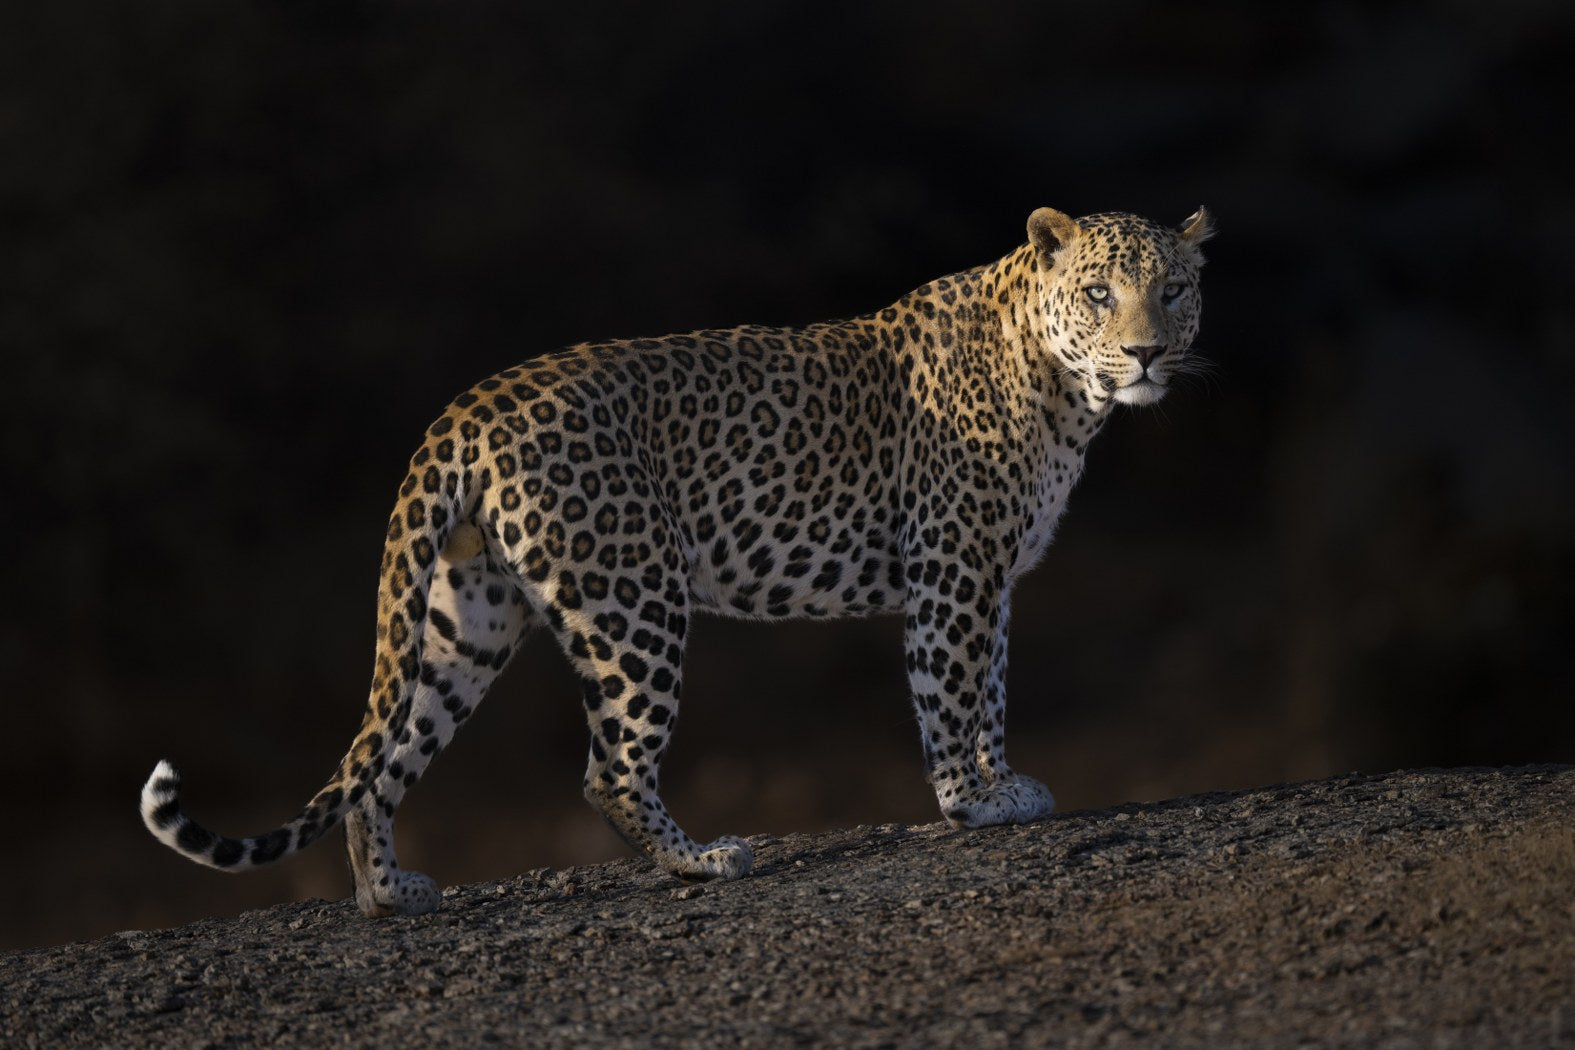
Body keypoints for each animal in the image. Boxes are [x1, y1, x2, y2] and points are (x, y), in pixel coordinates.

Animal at [141, 205, 1213, 918]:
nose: (1146, 353)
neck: (1065, 393)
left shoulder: (993, 576)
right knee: (607, 769)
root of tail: (467, 408)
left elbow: (988, 688)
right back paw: (700, 861)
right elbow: (950, 691)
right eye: (1098, 293)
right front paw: (973, 803)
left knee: (383, 757)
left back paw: (386, 893)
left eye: (1173, 290)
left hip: (465, 618)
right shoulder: (953, 565)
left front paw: (1004, 786)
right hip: (632, 600)